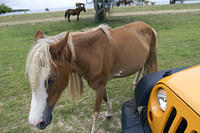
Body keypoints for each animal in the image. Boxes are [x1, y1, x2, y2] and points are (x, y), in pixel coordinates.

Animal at [25, 21, 158, 132]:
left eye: (51, 78)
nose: (35, 122)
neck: (92, 53)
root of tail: (148, 26)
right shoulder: (101, 85)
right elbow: (105, 98)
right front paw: (108, 113)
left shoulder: (99, 86)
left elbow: (95, 111)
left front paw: (94, 128)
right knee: (139, 69)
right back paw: (135, 84)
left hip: (149, 57)